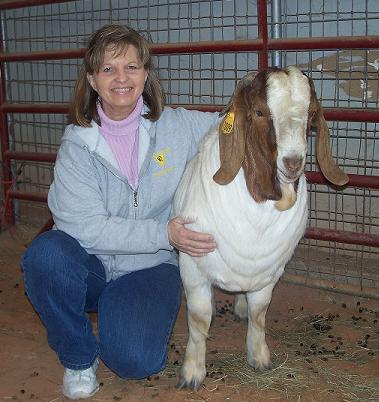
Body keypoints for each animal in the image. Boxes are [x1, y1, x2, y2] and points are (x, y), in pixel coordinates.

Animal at [174, 65, 348, 390]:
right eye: (258, 111)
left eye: (311, 114)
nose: (293, 163)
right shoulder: (193, 267)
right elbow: (199, 320)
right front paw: (192, 373)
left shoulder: (268, 273)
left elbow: (259, 314)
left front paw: (260, 358)